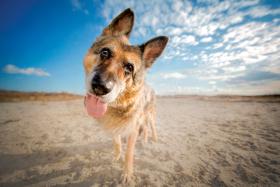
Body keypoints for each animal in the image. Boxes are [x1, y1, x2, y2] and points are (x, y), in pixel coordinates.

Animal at [82, 8, 166, 182]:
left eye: (129, 67)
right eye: (105, 52)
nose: (100, 88)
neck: (118, 105)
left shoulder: (133, 129)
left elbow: (129, 154)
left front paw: (127, 174)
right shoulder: (116, 127)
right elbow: (117, 142)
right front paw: (116, 156)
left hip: (149, 115)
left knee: (151, 127)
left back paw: (152, 140)